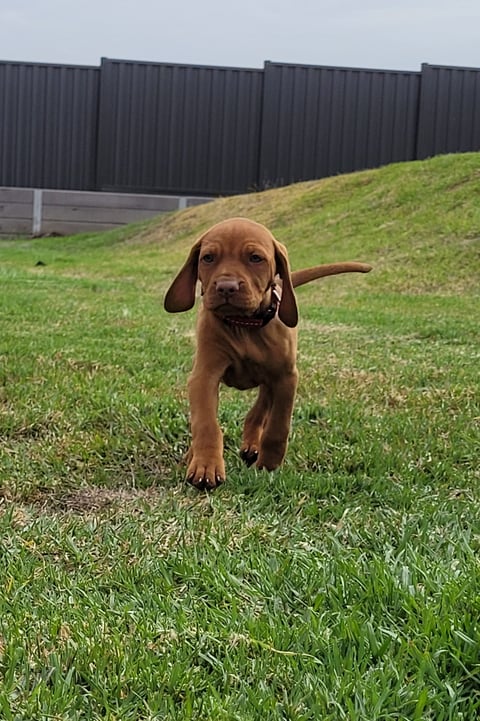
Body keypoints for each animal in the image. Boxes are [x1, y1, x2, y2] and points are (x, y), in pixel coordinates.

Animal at [163, 218, 370, 490]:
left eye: (255, 258)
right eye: (208, 258)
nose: (226, 287)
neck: (243, 325)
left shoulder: (286, 377)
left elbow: (278, 427)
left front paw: (269, 464)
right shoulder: (203, 376)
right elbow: (206, 422)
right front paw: (206, 464)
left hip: (272, 376)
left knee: (260, 408)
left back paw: (252, 445)